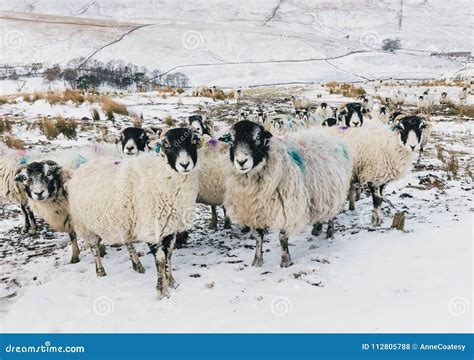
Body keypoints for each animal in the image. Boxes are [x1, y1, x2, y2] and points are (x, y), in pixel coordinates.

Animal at [66, 128, 200, 300]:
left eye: (194, 141)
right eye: (166, 145)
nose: (184, 164)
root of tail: (84, 166)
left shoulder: (170, 228)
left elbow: (169, 255)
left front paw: (171, 281)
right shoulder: (151, 229)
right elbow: (160, 260)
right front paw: (161, 291)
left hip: (121, 221)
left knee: (127, 242)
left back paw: (137, 264)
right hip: (85, 225)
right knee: (94, 247)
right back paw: (100, 271)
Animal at [222, 121, 352, 268]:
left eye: (258, 138)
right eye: (231, 140)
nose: (241, 161)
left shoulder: (287, 207)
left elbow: (282, 237)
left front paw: (285, 261)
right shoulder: (255, 210)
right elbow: (258, 236)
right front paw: (257, 261)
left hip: (333, 191)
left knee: (331, 214)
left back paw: (330, 233)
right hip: (318, 194)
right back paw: (317, 228)